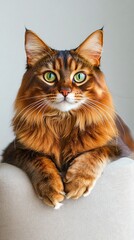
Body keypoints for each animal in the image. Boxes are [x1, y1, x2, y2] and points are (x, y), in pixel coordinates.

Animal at [1, 27, 133, 208]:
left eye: (79, 77)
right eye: (49, 76)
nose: (65, 91)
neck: (62, 122)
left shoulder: (119, 148)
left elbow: (95, 152)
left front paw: (78, 181)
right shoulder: (14, 150)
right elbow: (38, 159)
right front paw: (51, 188)